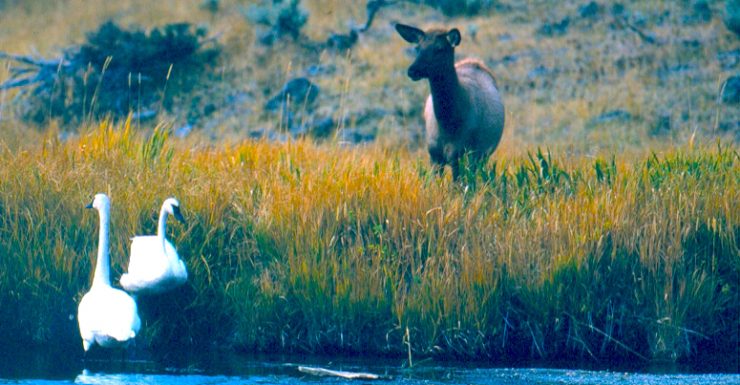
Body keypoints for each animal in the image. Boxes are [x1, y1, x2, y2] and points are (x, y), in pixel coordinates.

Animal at [396, 24, 506, 178]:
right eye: (417, 48)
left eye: (440, 48)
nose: (412, 70)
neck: (448, 123)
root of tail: (475, 63)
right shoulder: (434, 154)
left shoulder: (460, 153)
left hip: (482, 154)